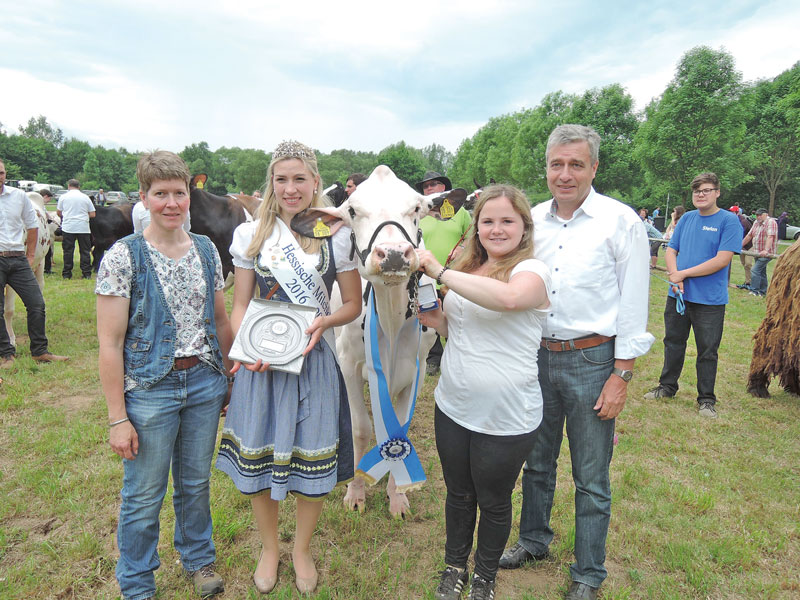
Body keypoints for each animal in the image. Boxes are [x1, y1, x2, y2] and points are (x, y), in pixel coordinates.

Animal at [294, 164, 468, 516]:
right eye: (352, 211)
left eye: (416, 208)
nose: (393, 254)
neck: (390, 321)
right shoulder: (349, 365)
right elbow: (361, 428)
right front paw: (355, 493)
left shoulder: (415, 368)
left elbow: (398, 427)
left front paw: (397, 495)